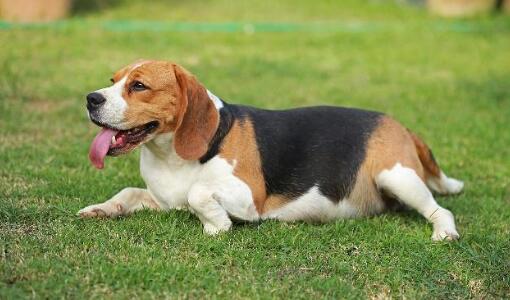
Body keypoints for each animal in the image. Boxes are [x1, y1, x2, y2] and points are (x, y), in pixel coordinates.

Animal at [77, 59, 464, 240]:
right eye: (113, 81)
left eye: (139, 86)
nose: (91, 99)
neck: (171, 158)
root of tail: (400, 125)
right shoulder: (163, 199)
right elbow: (128, 192)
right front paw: (101, 209)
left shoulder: (249, 197)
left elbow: (198, 193)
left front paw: (216, 226)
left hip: (396, 176)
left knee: (440, 209)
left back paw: (444, 232)